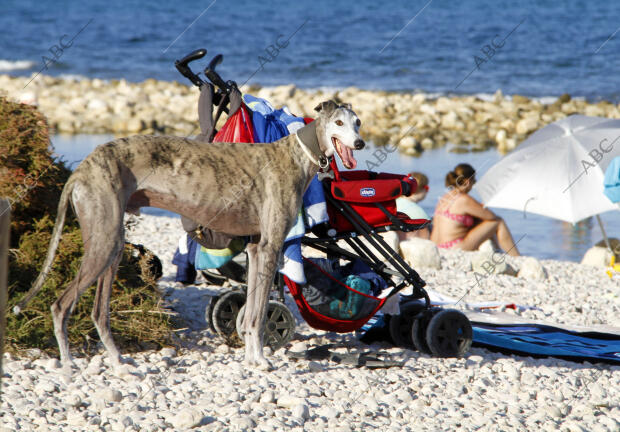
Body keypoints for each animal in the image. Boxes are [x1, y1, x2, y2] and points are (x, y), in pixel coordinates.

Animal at [15, 100, 364, 372]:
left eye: (358, 123)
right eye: (338, 122)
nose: (360, 144)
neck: (294, 154)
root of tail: (81, 169)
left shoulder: (255, 249)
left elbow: (251, 311)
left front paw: (251, 359)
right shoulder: (270, 246)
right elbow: (256, 315)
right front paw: (262, 361)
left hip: (111, 244)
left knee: (99, 312)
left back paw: (118, 362)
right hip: (103, 241)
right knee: (61, 305)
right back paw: (68, 365)